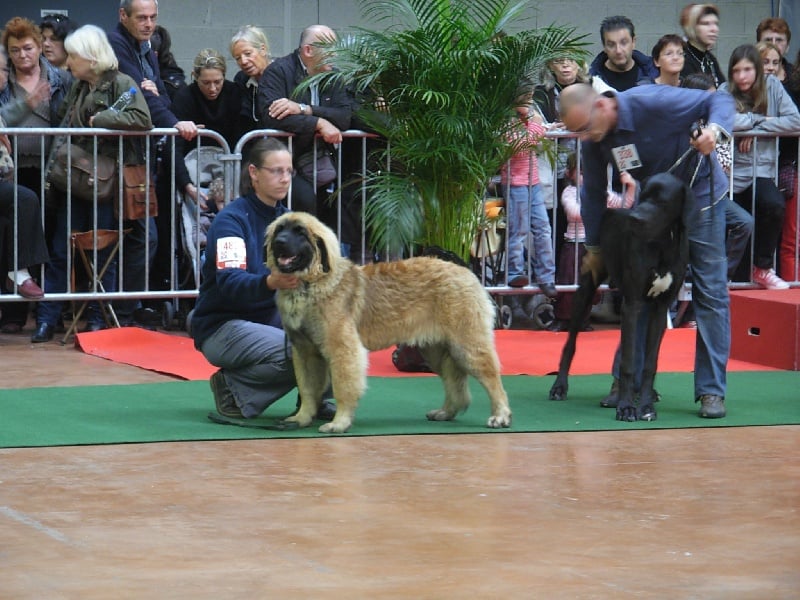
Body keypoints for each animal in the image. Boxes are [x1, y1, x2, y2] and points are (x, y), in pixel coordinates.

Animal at [264, 213, 512, 434]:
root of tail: (465, 271)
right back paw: (446, 412)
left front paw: (339, 423)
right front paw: (301, 419)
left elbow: (343, 387)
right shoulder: (305, 353)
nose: (279, 242)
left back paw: (500, 415)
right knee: (455, 382)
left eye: (300, 233)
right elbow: (307, 390)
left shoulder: (342, 350)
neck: (310, 283)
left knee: (492, 378)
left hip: (466, 345)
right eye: (279, 230)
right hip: (436, 350)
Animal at [552, 171, 692, 420]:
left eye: (661, 201)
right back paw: (560, 386)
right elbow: (628, 362)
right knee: (570, 343)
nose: (634, 218)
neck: (663, 244)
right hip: (586, 289)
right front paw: (626, 407)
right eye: (643, 196)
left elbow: (649, 363)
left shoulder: (660, 308)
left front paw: (646, 406)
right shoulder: (633, 304)